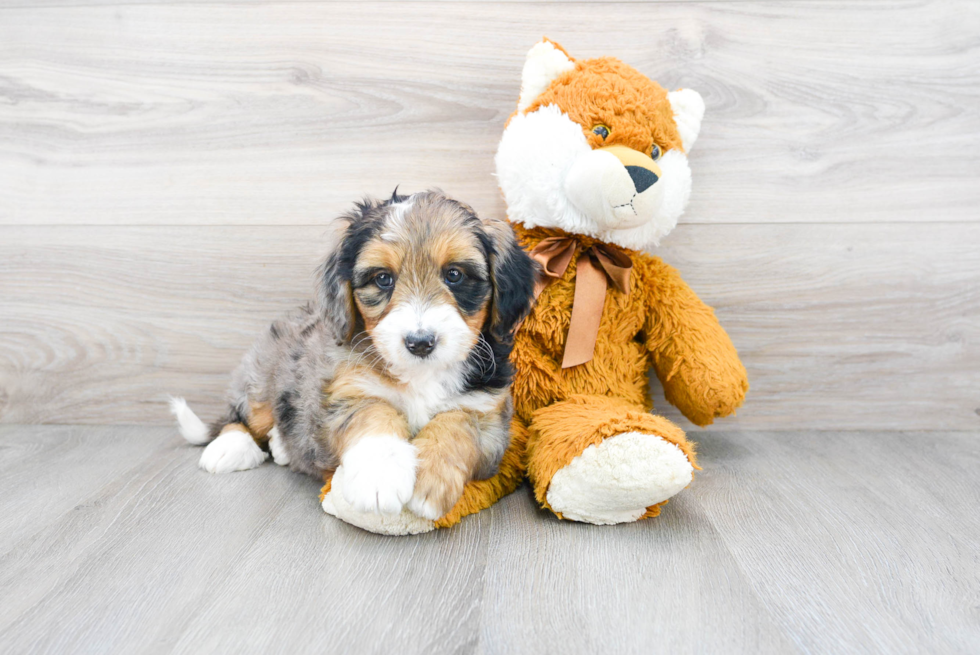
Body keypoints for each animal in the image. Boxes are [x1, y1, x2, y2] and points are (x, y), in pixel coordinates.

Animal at [170, 191, 536, 524]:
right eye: (383, 278)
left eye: (455, 275)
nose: (420, 343)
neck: (420, 375)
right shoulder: (343, 392)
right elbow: (373, 412)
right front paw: (379, 476)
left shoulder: (490, 419)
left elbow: (457, 423)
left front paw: (430, 481)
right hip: (262, 377)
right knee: (243, 415)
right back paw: (230, 446)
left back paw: (281, 446)